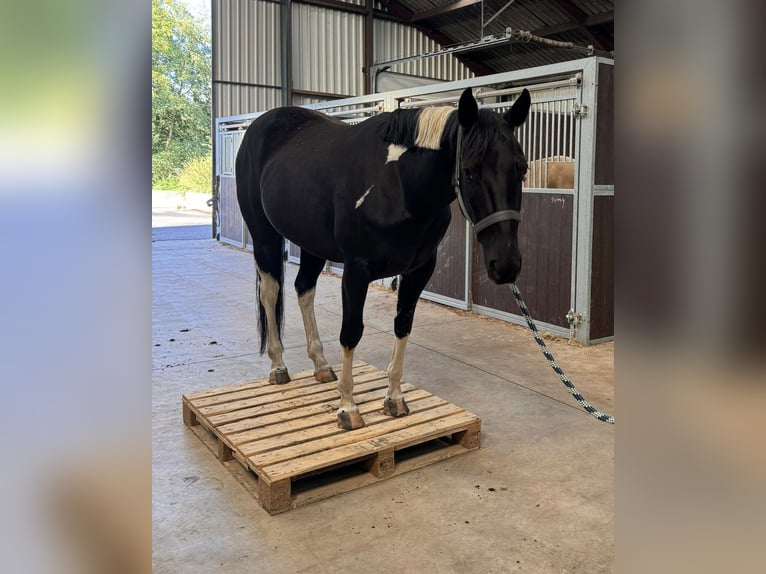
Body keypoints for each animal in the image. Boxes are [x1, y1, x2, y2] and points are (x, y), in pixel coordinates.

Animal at [237, 89, 532, 432]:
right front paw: (348, 408)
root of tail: (262, 125)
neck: (397, 184)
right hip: (264, 236)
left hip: (312, 243)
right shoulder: (356, 270)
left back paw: (321, 365)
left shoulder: (420, 270)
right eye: (470, 171)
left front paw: (394, 399)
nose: (506, 265)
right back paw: (278, 367)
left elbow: (403, 325)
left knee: (304, 290)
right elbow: (351, 331)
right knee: (270, 293)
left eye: (522, 169)